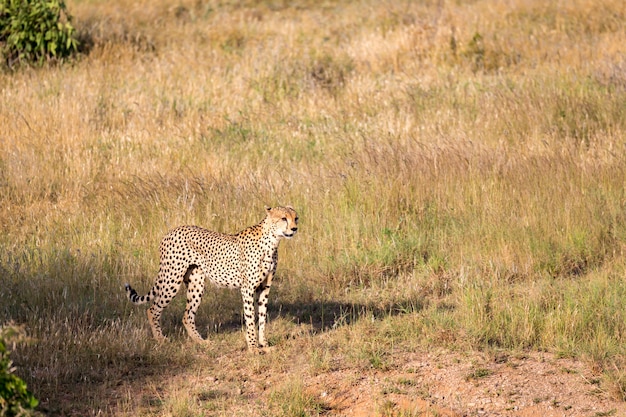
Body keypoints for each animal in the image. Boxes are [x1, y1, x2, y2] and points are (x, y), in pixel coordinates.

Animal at [124, 205, 298, 348]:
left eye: (295, 218)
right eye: (283, 218)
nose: (295, 228)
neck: (272, 241)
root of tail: (172, 231)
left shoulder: (264, 287)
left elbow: (262, 317)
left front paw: (264, 344)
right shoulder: (247, 288)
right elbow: (250, 317)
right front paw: (253, 346)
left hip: (196, 283)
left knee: (187, 316)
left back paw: (201, 342)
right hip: (172, 279)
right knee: (152, 310)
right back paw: (161, 340)